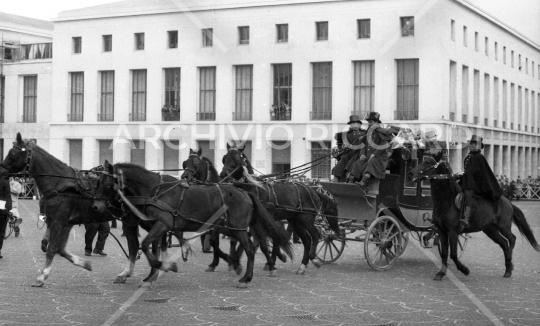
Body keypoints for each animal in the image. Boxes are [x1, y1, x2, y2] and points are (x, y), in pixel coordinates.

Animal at [0, 132, 173, 286]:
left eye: (15, 154)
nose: (1, 171)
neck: (60, 184)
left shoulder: (58, 222)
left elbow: (52, 249)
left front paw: (42, 276)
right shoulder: (66, 223)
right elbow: (60, 249)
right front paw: (84, 263)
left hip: (133, 220)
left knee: (140, 244)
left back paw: (149, 272)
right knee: (138, 245)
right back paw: (135, 273)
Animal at [95, 162, 294, 286]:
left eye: (107, 184)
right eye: (97, 183)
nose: (96, 206)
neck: (153, 191)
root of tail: (245, 192)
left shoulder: (162, 224)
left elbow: (144, 245)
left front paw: (167, 267)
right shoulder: (154, 227)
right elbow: (150, 247)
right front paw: (152, 274)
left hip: (238, 229)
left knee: (251, 249)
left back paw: (246, 277)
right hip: (230, 228)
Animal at [190, 145, 340, 276]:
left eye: (237, 158)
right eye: (224, 157)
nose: (224, 174)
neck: (251, 188)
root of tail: (313, 190)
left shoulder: (255, 223)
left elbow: (258, 242)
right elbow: (245, 241)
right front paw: (235, 261)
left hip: (306, 219)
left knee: (315, 235)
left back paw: (313, 258)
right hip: (295, 220)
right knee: (307, 240)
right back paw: (302, 265)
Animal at [410, 150, 540, 280]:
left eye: (427, 162)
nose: (411, 173)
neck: (447, 201)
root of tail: (508, 201)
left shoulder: (453, 231)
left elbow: (453, 254)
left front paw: (465, 270)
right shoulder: (441, 231)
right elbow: (444, 253)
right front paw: (441, 273)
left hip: (504, 226)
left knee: (512, 239)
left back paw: (509, 265)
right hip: (490, 230)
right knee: (504, 243)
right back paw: (508, 268)